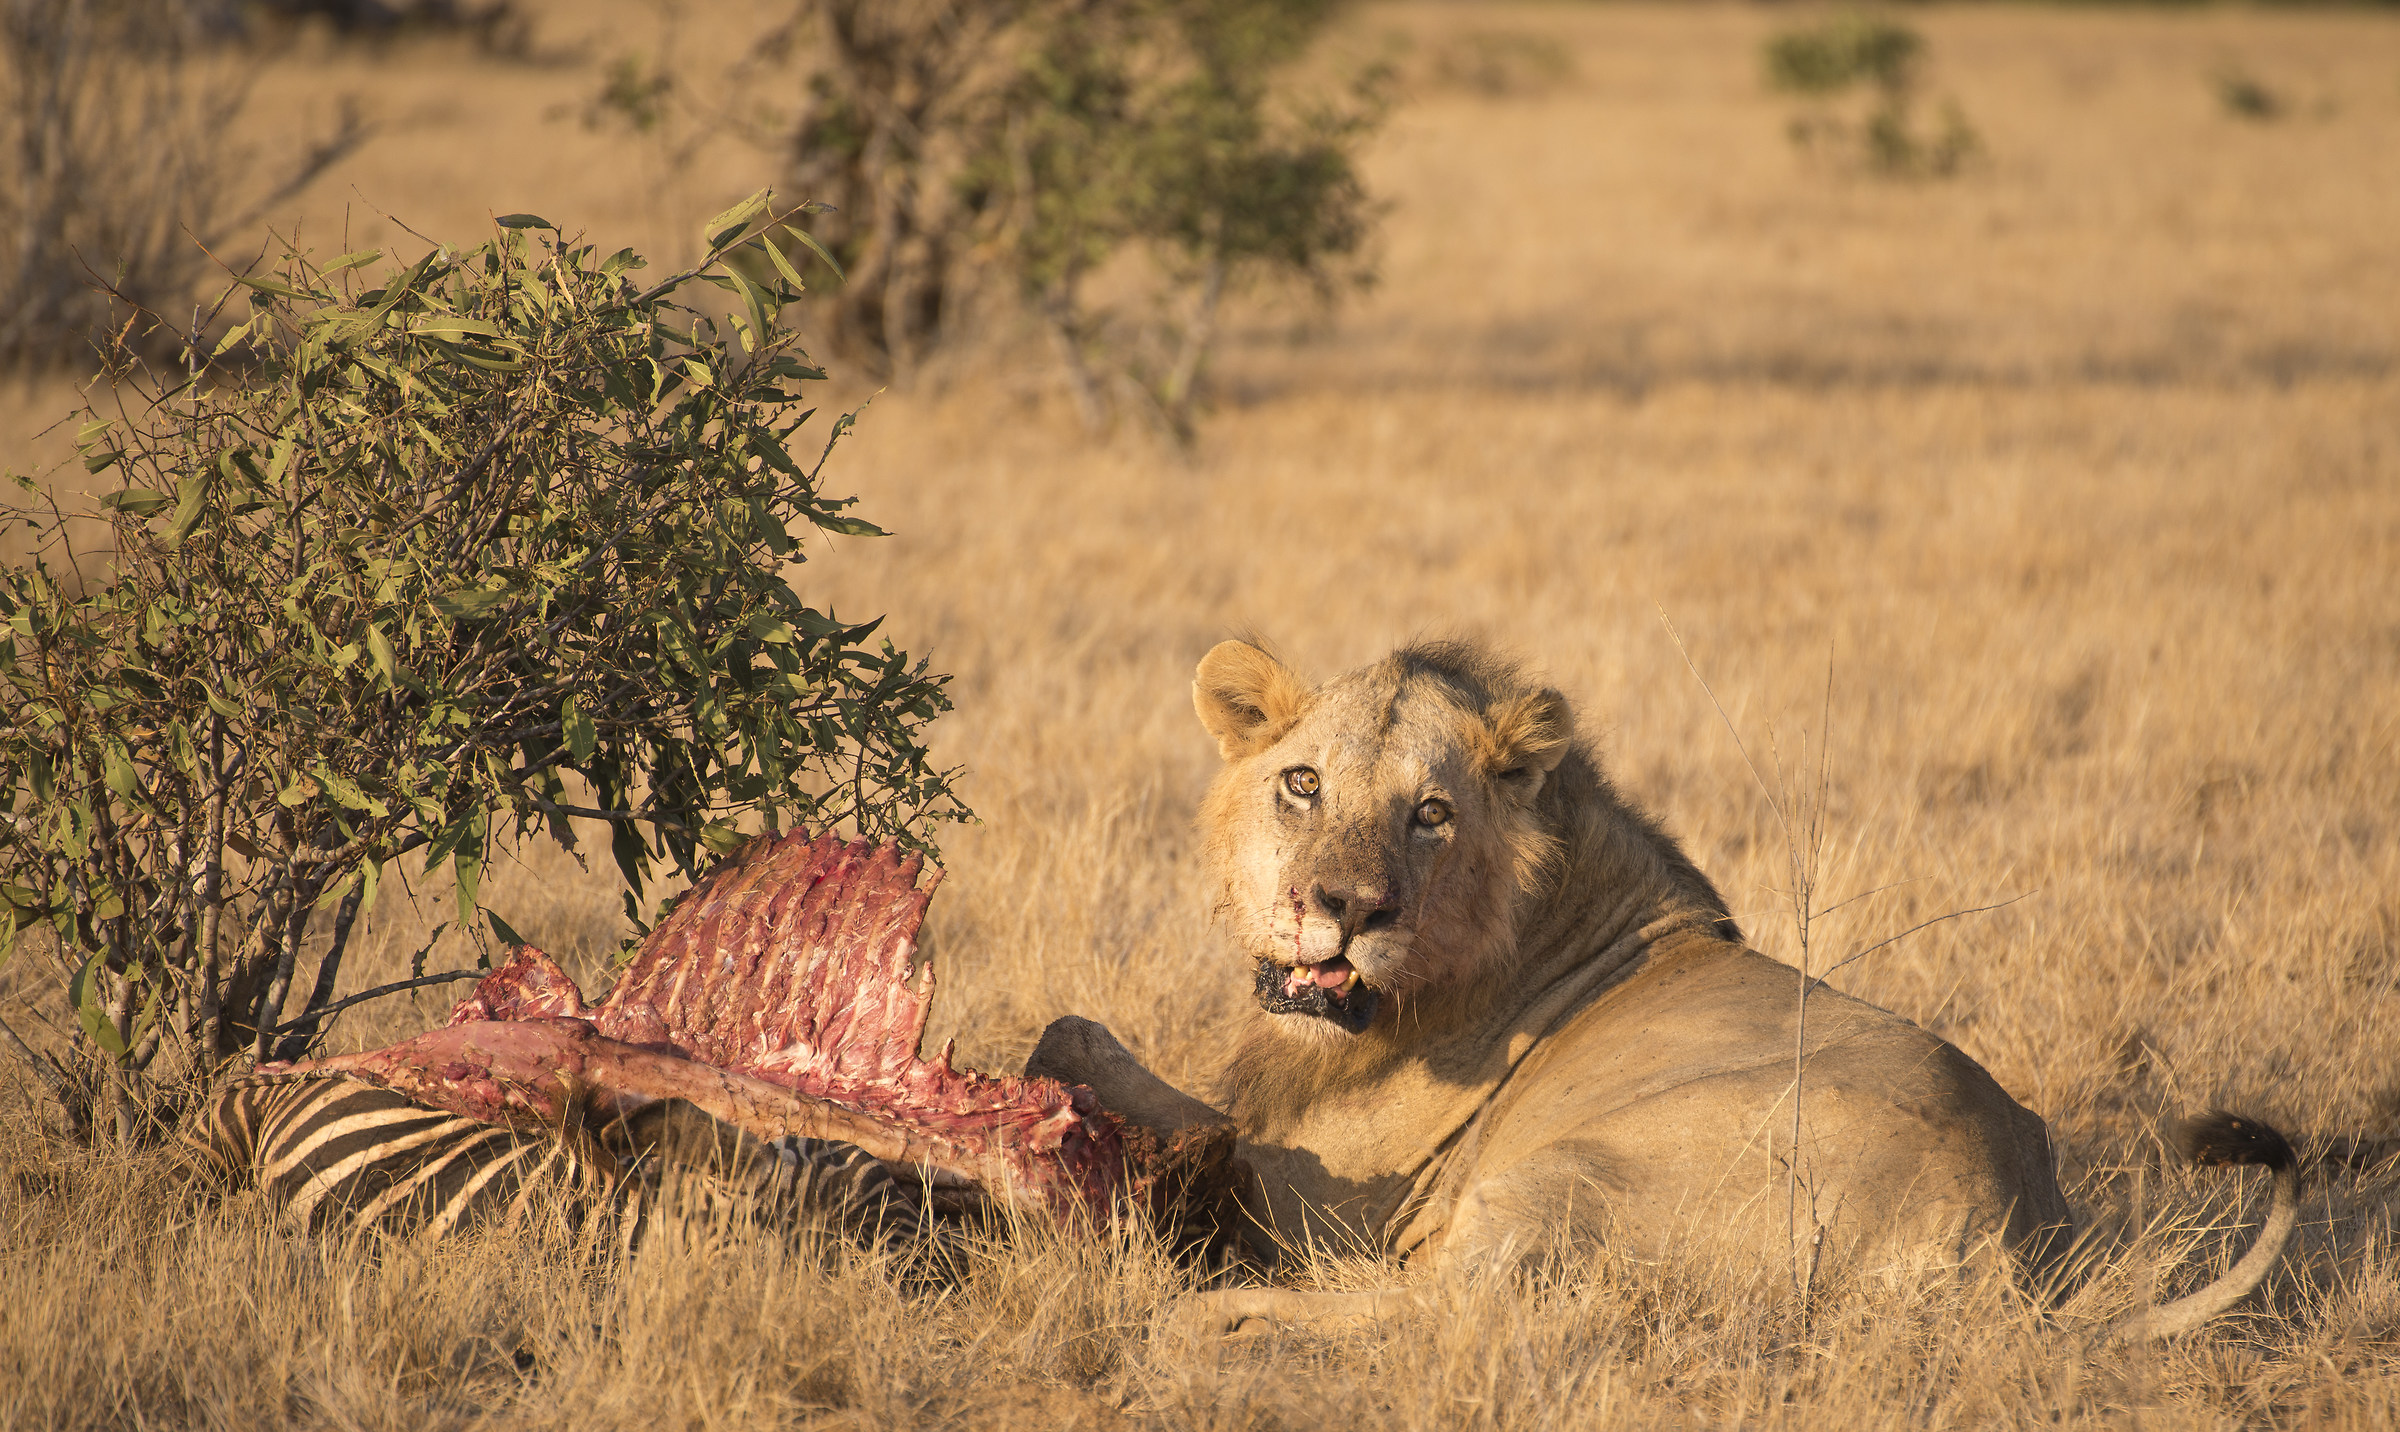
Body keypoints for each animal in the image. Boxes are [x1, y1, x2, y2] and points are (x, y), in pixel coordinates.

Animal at [1030, 639, 2297, 1342]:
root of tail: (2012, 1243)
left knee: (1443, 1305)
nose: (1342, 906)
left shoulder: (1301, 1203)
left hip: (1567, 1173)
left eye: (1430, 813)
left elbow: (1084, 1034)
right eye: (1302, 783)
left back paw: (1199, 1318)